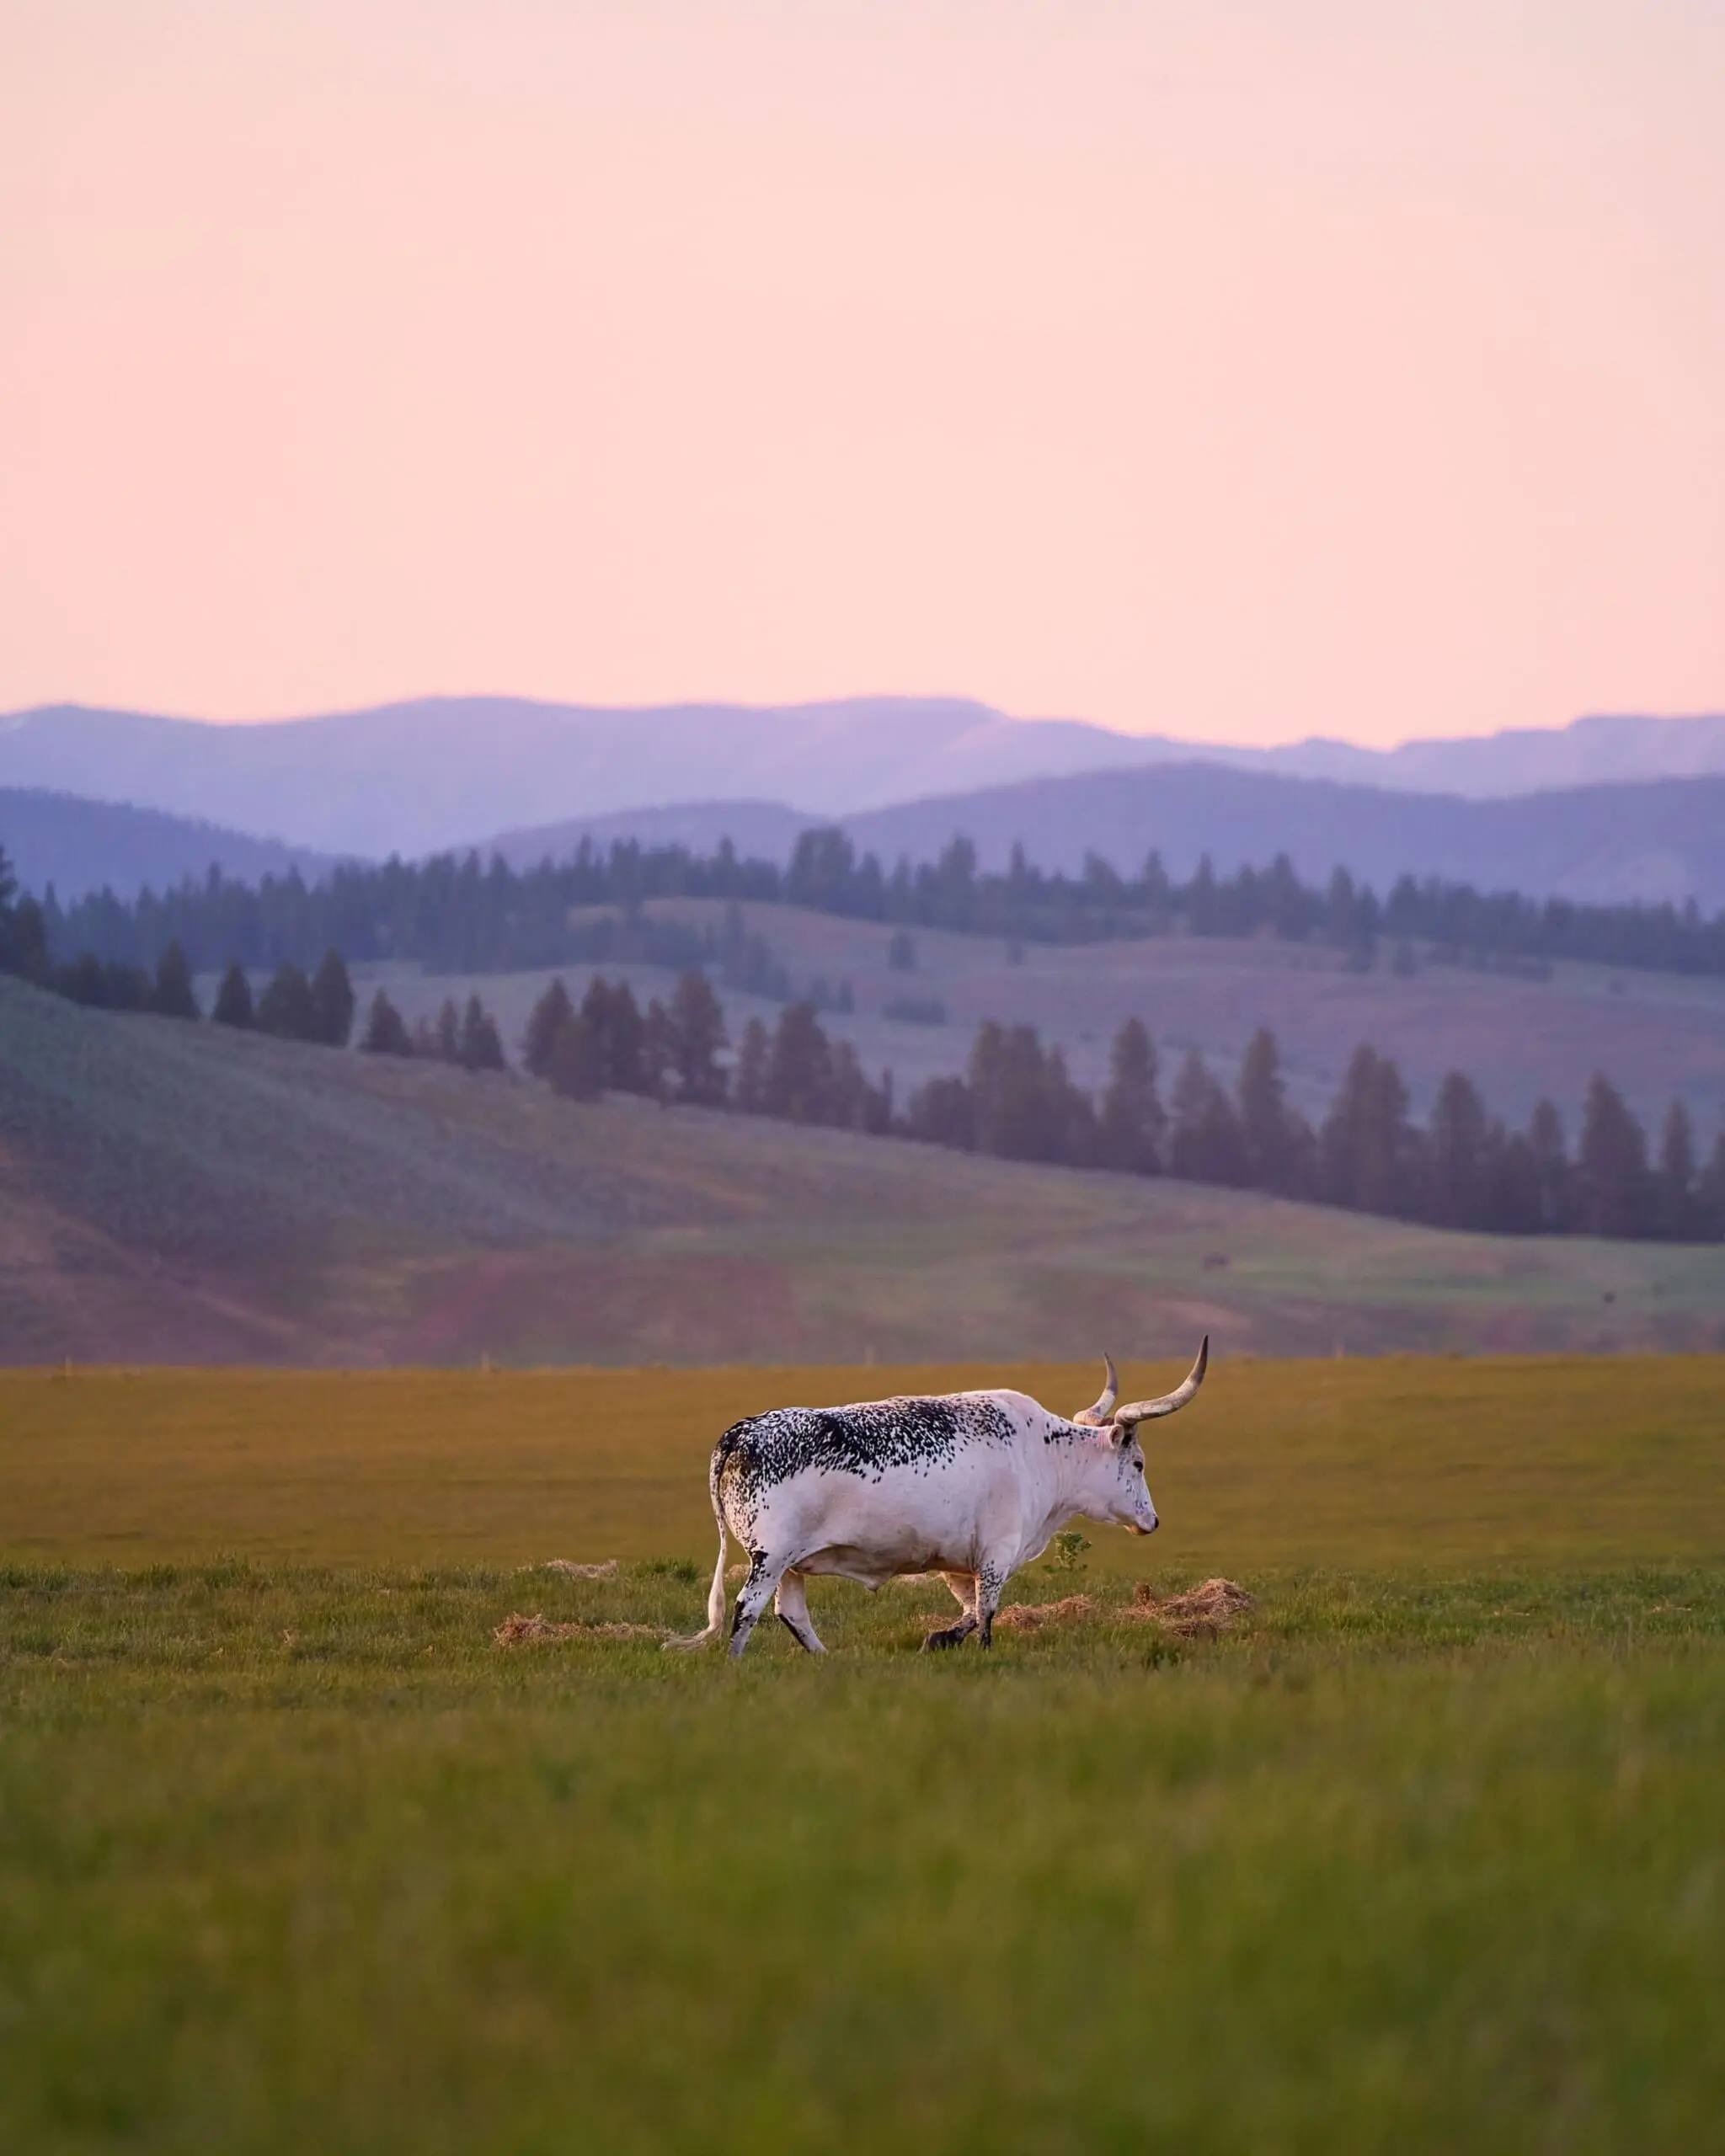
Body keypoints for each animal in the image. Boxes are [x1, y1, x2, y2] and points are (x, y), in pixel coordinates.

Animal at [666, 1340, 1208, 1658]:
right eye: (1139, 1465)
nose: (1152, 1521)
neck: (1041, 1453)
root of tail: (740, 1433)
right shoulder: (996, 1553)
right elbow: (986, 1614)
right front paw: (971, 1650)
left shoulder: (957, 1561)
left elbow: (968, 1610)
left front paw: (939, 1638)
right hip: (771, 1555)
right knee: (747, 1609)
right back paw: (737, 1664)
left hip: (792, 1563)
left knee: (791, 1613)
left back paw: (828, 1662)